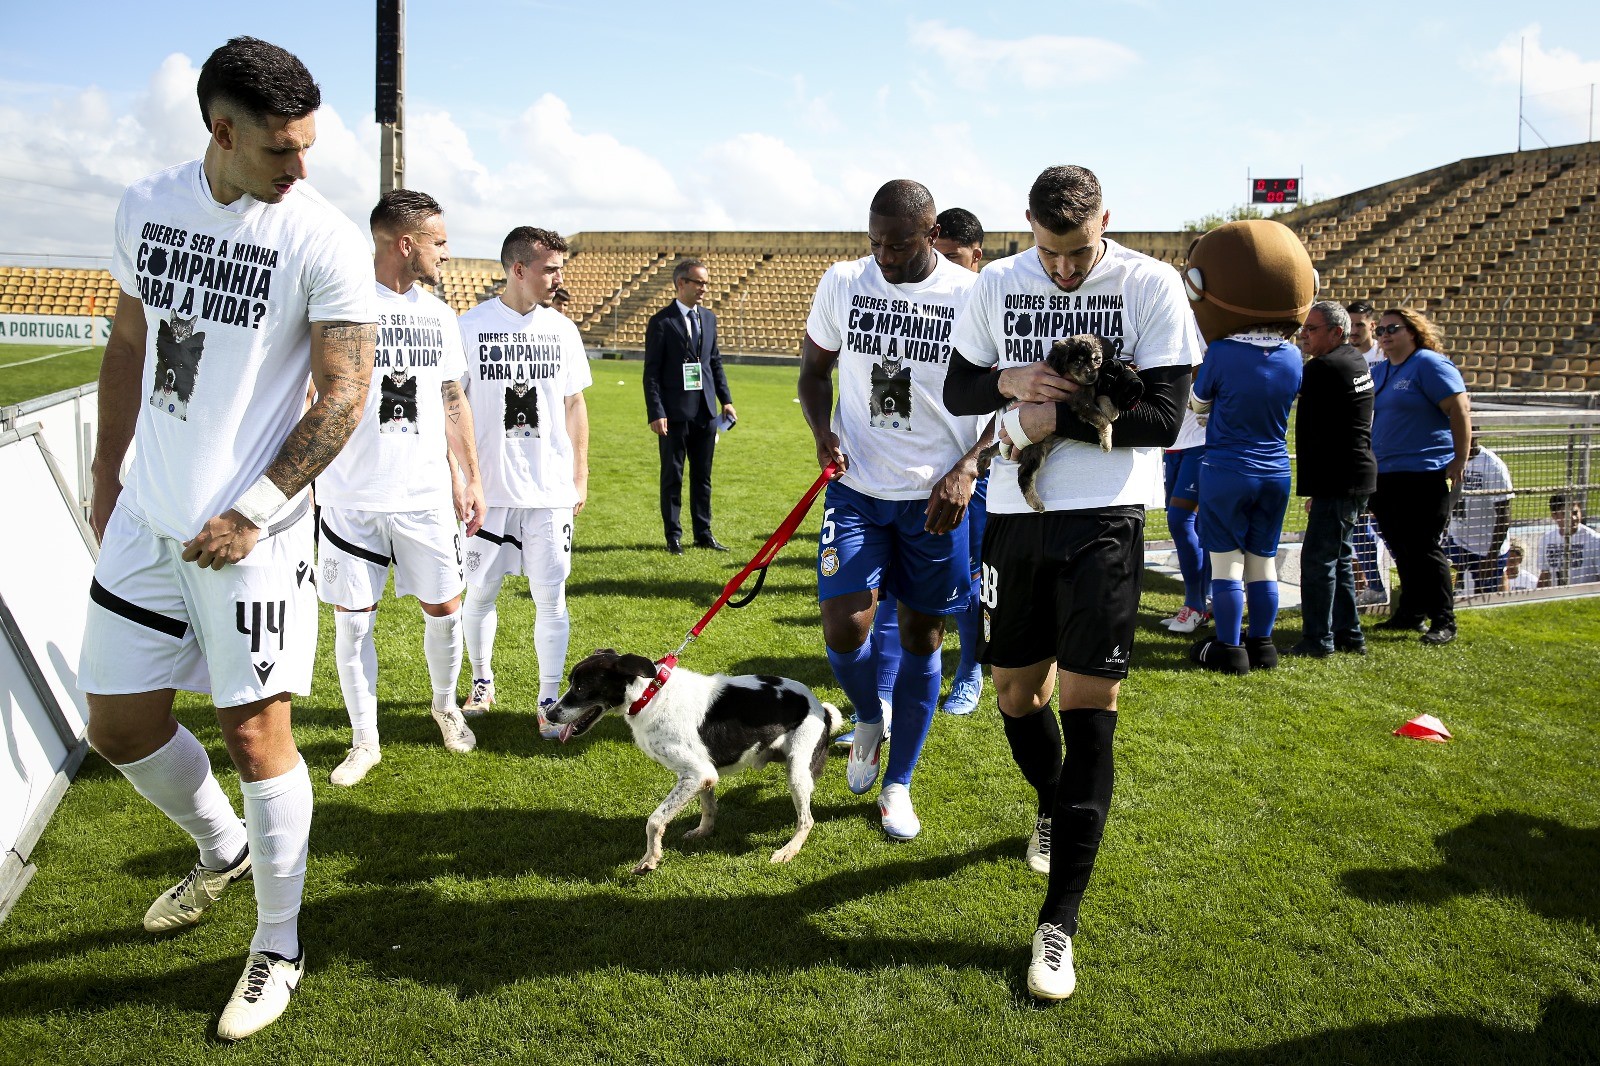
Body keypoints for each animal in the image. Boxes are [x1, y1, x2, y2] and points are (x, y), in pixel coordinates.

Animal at [547, 646, 851, 870]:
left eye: (581, 687)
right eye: (571, 683)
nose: (549, 714)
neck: (650, 696)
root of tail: (821, 709)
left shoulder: (696, 773)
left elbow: (654, 820)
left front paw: (649, 860)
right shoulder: (704, 774)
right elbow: (709, 806)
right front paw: (703, 832)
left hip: (798, 769)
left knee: (807, 820)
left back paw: (788, 851)